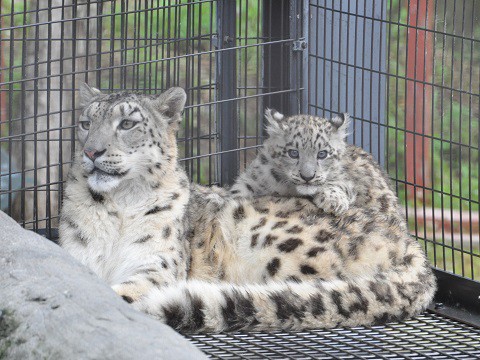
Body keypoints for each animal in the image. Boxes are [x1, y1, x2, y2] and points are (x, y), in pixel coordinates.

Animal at [231, 109, 404, 222]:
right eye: (293, 153)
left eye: (322, 154)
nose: (307, 176)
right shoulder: (253, 178)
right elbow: (238, 192)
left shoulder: (347, 180)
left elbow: (339, 184)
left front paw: (333, 202)